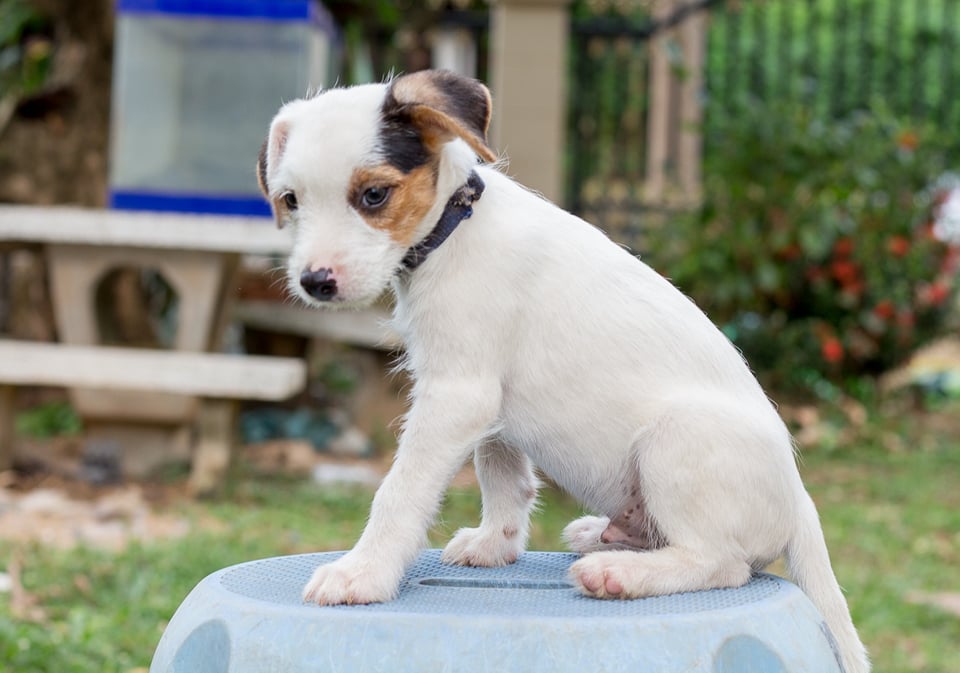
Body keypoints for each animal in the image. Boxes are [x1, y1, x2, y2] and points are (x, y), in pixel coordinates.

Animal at [256, 70, 869, 673]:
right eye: (291, 200)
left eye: (374, 194)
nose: (314, 281)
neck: (456, 227)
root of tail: (800, 501)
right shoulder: (490, 404)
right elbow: (503, 478)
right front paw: (496, 545)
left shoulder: (457, 394)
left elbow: (399, 492)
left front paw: (364, 572)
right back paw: (603, 535)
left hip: (678, 438)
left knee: (722, 563)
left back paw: (620, 574)